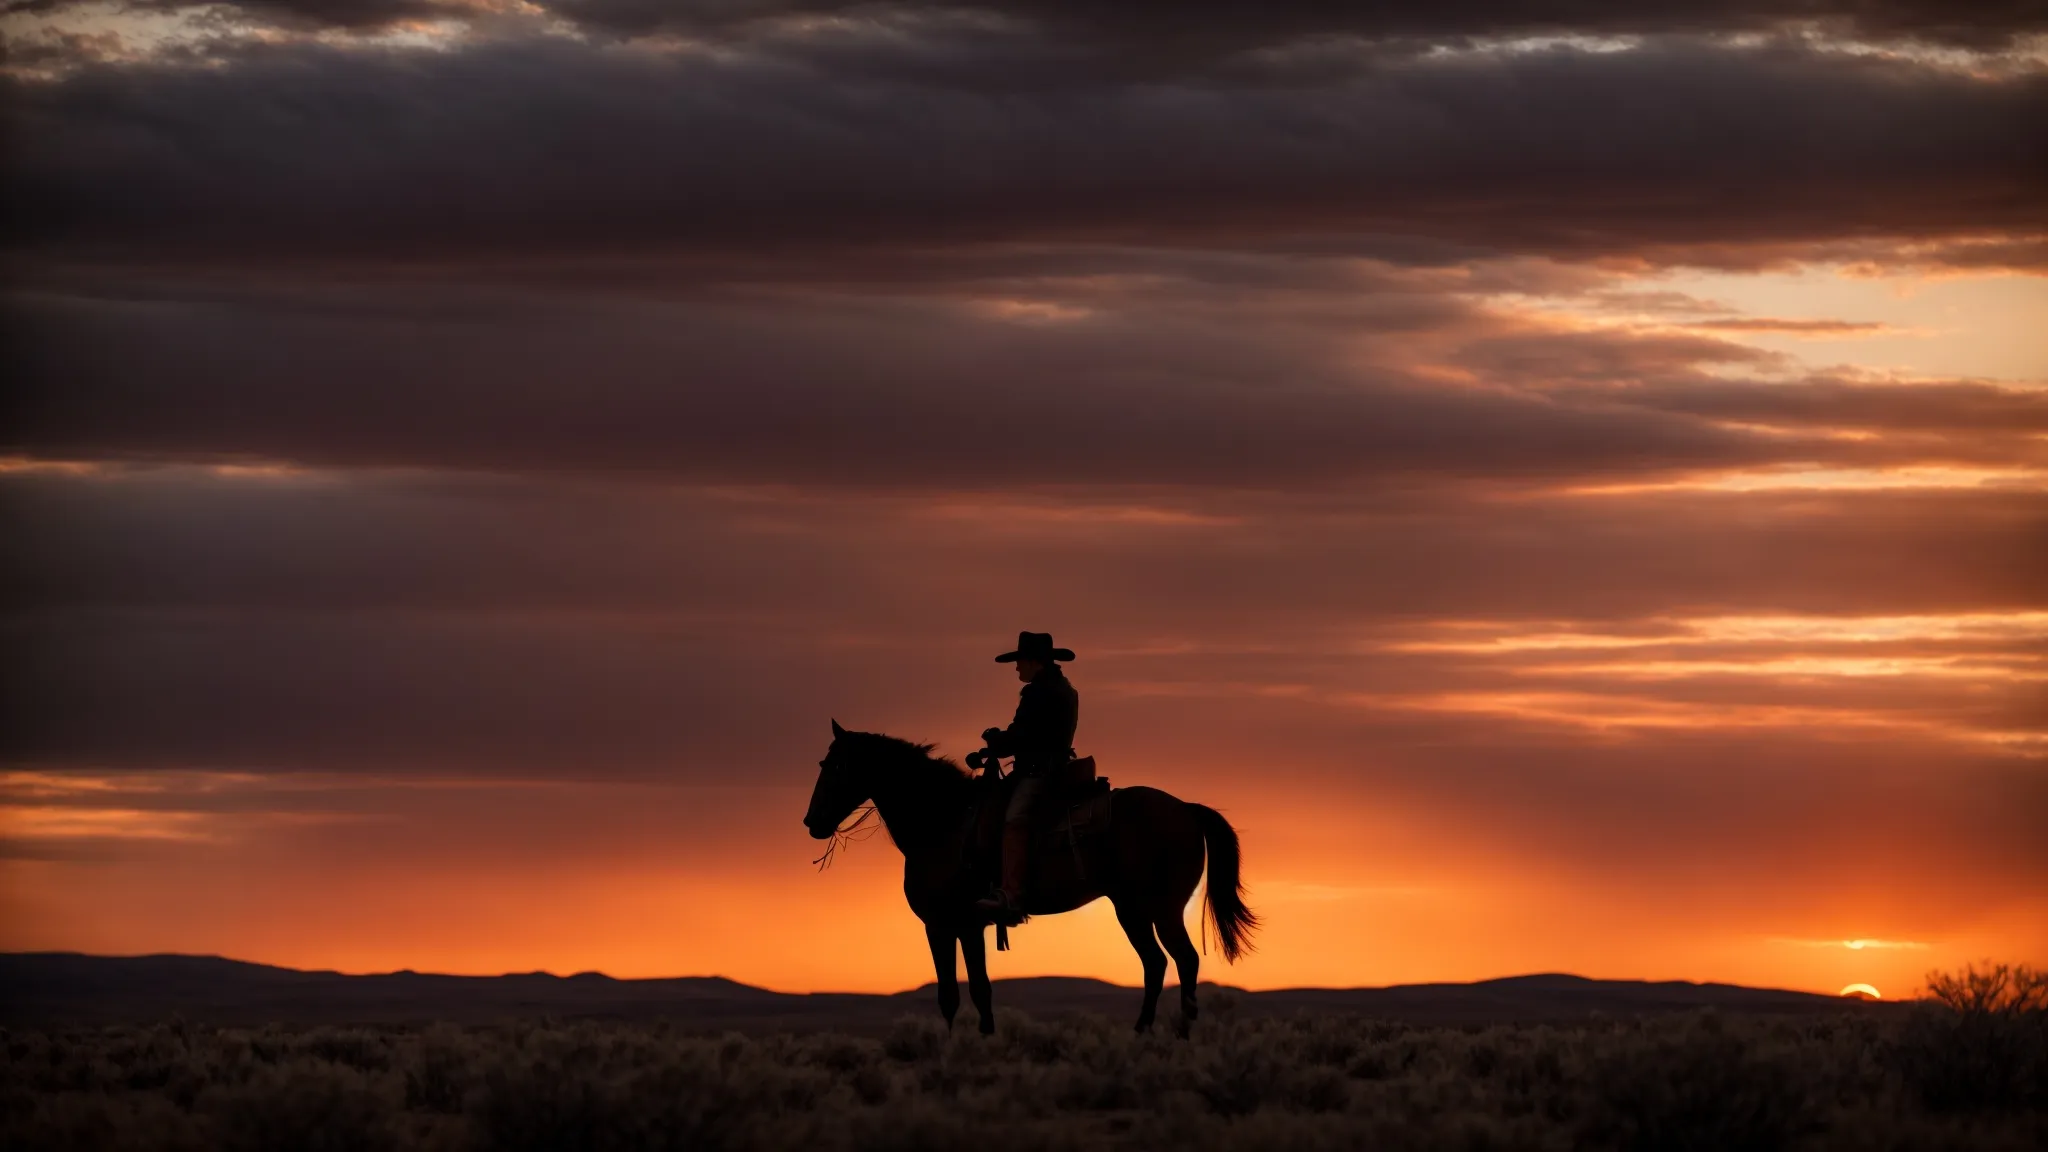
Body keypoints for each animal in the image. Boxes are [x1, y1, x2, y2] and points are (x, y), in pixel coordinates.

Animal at [802, 717, 1253, 1033]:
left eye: (836, 764)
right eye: (823, 762)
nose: (812, 822)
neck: (944, 823)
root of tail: (1186, 809)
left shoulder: (951, 924)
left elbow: (964, 992)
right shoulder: (959, 927)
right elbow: (967, 993)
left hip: (1161, 908)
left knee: (1184, 960)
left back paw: (1180, 1035)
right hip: (1132, 911)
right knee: (1157, 964)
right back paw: (1142, 1032)